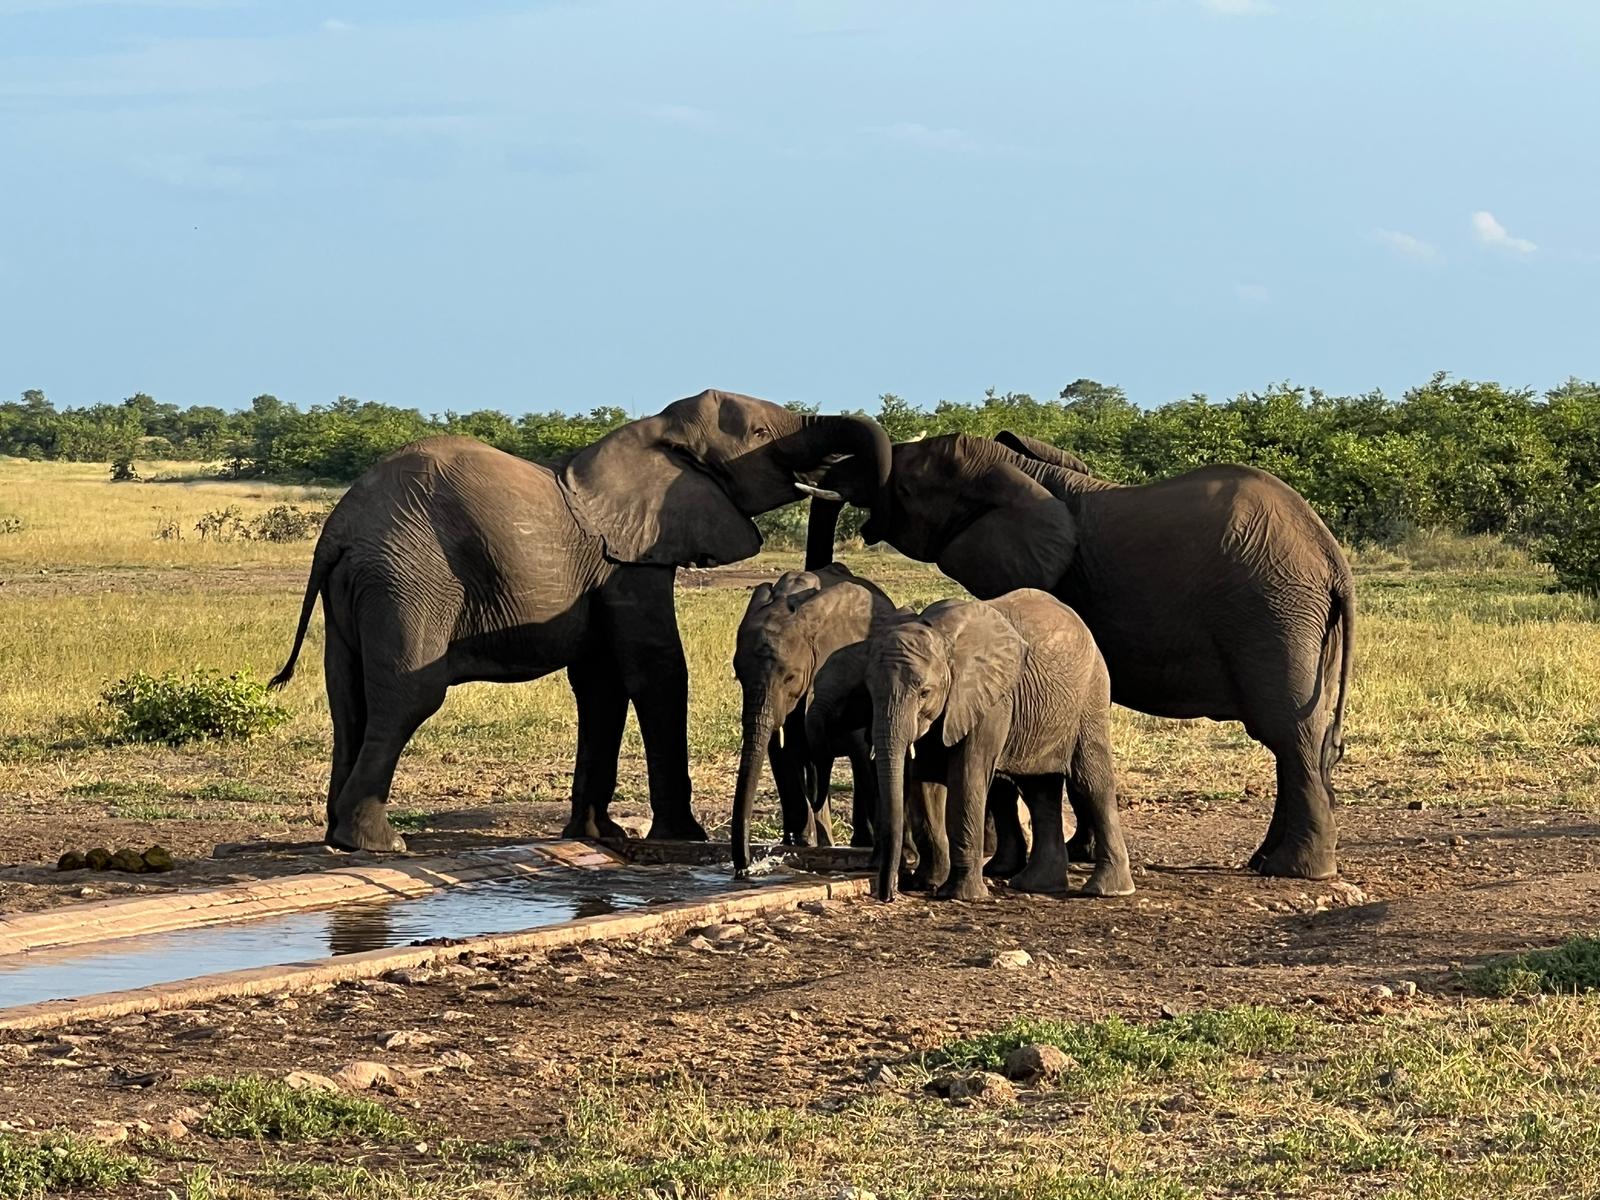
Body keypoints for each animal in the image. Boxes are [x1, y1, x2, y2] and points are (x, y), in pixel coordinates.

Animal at [729, 563, 895, 874]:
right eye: (739, 675)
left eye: (790, 677)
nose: (743, 869)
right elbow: (780, 750)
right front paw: (800, 842)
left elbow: (860, 752)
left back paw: (859, 841)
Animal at [866, 589, 1130, 902]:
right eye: (869, 691)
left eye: (924, 693)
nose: (889, 894)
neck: (940, 636)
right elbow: (925, 784)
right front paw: (928, 883)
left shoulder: (989, 700)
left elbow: (966, 777)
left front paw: (960, 895)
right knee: (1040, 791)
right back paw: (1034, 885)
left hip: (1091, 693)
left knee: (1091, 782)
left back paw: (1107, 890)